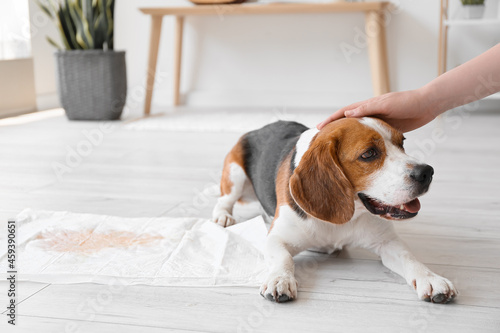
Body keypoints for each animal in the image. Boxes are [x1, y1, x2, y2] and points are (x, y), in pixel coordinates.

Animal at [211, 117, 458, 304]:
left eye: (402, 143)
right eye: (369, 154)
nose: (426, 172)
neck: (349, 214)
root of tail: (259, 129)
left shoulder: (387, 243)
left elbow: (409, 258)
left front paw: (431, 279)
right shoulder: (276, 238)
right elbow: (283, 258)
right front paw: (280, 280)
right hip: (235, 175)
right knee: (224, 199)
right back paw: (223, 216)